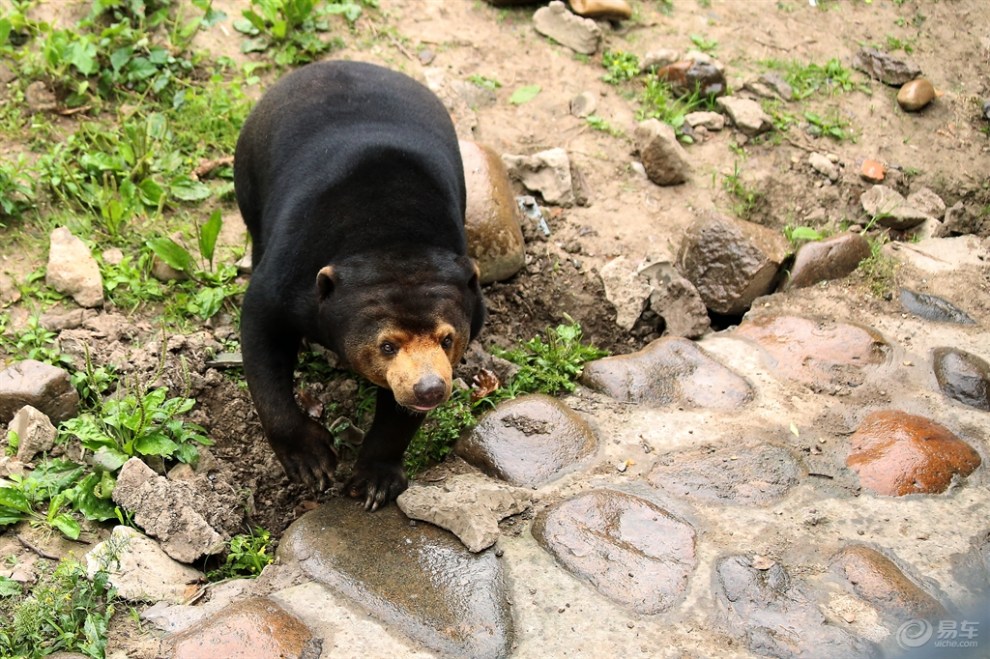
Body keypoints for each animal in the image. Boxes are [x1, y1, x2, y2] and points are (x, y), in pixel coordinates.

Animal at [233, 60, 488, 510]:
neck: (391, 238)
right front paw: (311, 461)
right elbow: (261, 332)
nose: (429, 389)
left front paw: (373, 482)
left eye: (447, 339)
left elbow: (397, 413)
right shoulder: (291, 271)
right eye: (386, 345)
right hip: (248, 171)